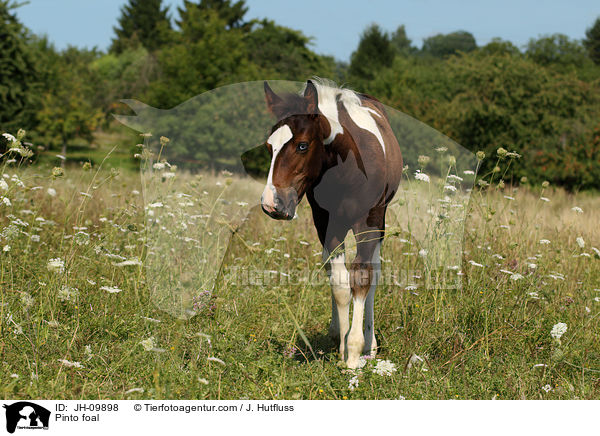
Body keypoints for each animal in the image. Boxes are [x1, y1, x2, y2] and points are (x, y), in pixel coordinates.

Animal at [258, 79, 404, 368]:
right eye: (270, 148)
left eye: (302, 145)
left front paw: (355, 353)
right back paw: (338, 332)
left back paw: (370, 343)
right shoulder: (326, 223)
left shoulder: (369, 221)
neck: (346, 173)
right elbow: (338, 283)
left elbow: (363, 276)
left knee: (374, 272)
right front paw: (343, 347)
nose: (272, 203)